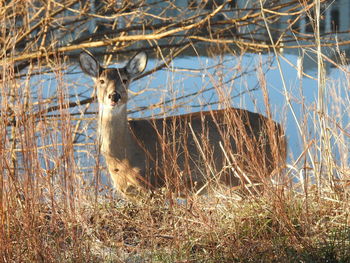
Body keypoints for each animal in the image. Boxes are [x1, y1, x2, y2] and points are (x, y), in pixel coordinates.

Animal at [79, 51, 288, 200]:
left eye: (125, 80)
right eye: (101, 81)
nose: (114, 96)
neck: (125, 151)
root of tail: (280, 132)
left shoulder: (152, 183)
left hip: (252, 170)